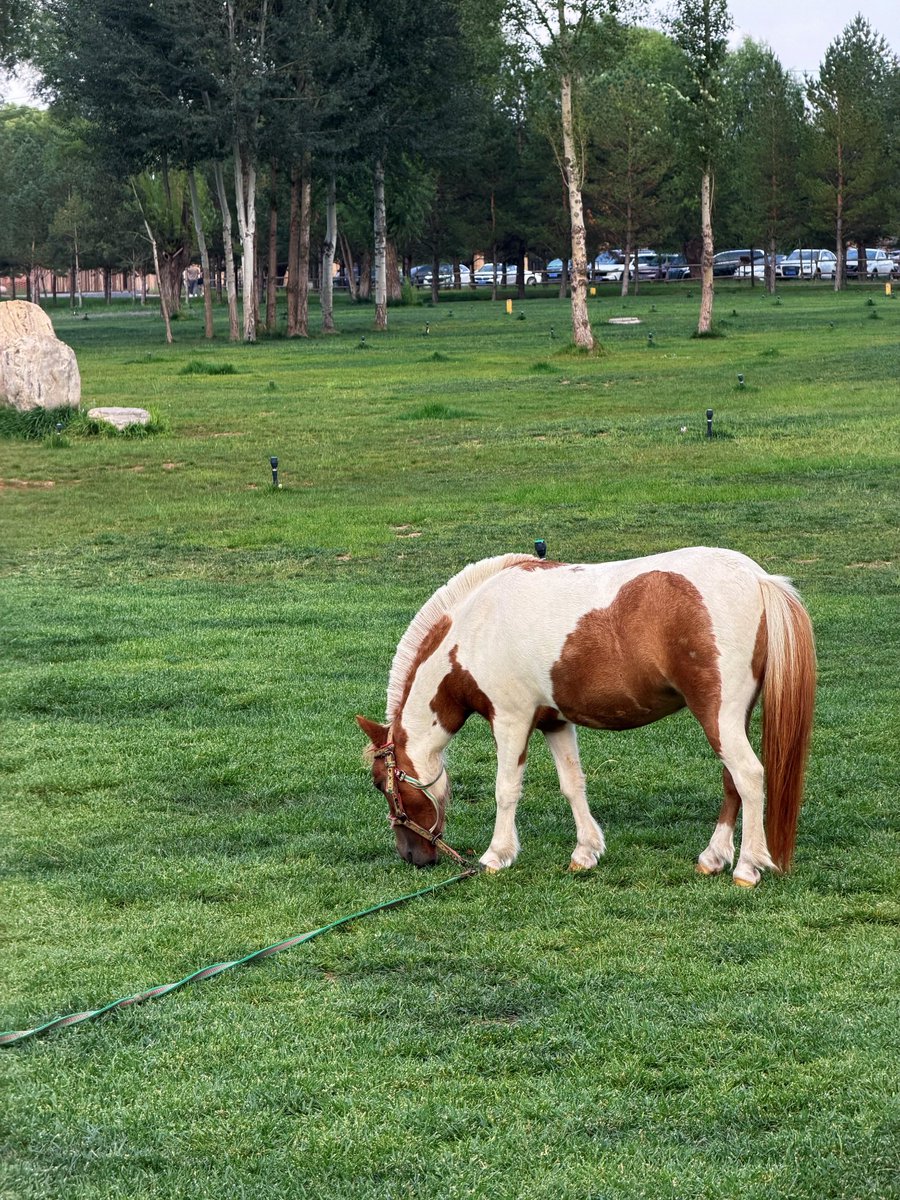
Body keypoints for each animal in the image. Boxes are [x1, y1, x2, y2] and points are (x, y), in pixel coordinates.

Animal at [357, 547, 816, 887]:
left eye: (382, 784)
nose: (412, 856)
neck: (476, 628)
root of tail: (758, 578)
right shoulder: (555, 722)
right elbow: (572, 784)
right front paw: (586, 852)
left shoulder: (510, 720)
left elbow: (506, 789)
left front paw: (496, 856)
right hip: (729, 719)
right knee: (732, 781)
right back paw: (714, 857)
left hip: (717, 715)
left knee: (749, 776)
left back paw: (747, 868)